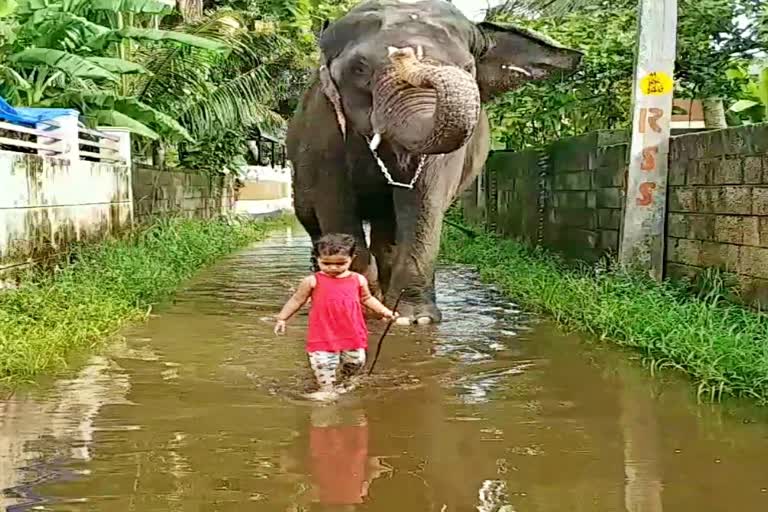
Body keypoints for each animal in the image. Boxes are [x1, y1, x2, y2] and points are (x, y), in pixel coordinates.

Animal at [284, 0, 580, 326]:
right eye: (359, 68)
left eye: (468, 68)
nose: (405, 55)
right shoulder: (322, 126)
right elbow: (334, 200)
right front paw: (360, 303)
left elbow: (424, 197)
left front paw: (413, 319)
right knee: (311, 217)